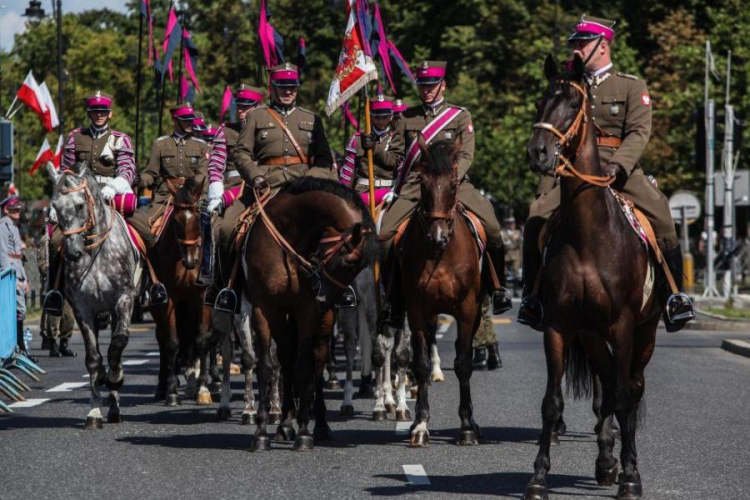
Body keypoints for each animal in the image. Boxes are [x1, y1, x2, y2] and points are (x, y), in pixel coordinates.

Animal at [50, 162, 145, 428]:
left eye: (80, 205)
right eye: (54, 206)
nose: (72, 252)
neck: (95, 253)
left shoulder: (123, 300)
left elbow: (118, 344)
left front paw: (114, 377)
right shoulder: (83, 309)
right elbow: (93, 358)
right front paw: (93, 412)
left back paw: (115, 404)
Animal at [150, 178, 213, 408]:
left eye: (197, 219)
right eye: (176, 223)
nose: (191, 262)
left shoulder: (203, 296)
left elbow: (202, 340)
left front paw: (203, 389)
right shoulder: (169, 298)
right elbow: (172, 342)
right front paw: (171, 393)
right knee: (162, 336)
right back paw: (163, 386)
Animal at [245, 179, 378, 454]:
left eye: (361, 267)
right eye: (349, 261)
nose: (325, 299)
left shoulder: (307, 311)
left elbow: (305, 367)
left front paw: (305, 432)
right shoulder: (264, 308)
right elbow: (266, 366)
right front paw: (261, 432)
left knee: (316, 358)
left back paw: (320, 425)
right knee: (286, 358)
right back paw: (285, 424)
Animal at [400, 135, 488, 448]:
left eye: (453, 182)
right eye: (423, 183)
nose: (437, 237)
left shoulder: (468, 308)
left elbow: (463, 364)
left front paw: (466, 426)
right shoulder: (416, 309)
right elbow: (421, 364)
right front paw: (420, 426)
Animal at [524, 54, 656, 500]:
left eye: (572, 103)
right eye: (541, 101)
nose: (538, 152)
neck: (588, 234)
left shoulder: (624, 325)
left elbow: (624, 396)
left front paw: (631, 478)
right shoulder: (559, 325)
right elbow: (551, 402)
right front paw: (538, 478)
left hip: (644, 331)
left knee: (629, 389)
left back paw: (625, 467)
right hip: (593, 335)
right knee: (607, 387)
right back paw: (605, 461)